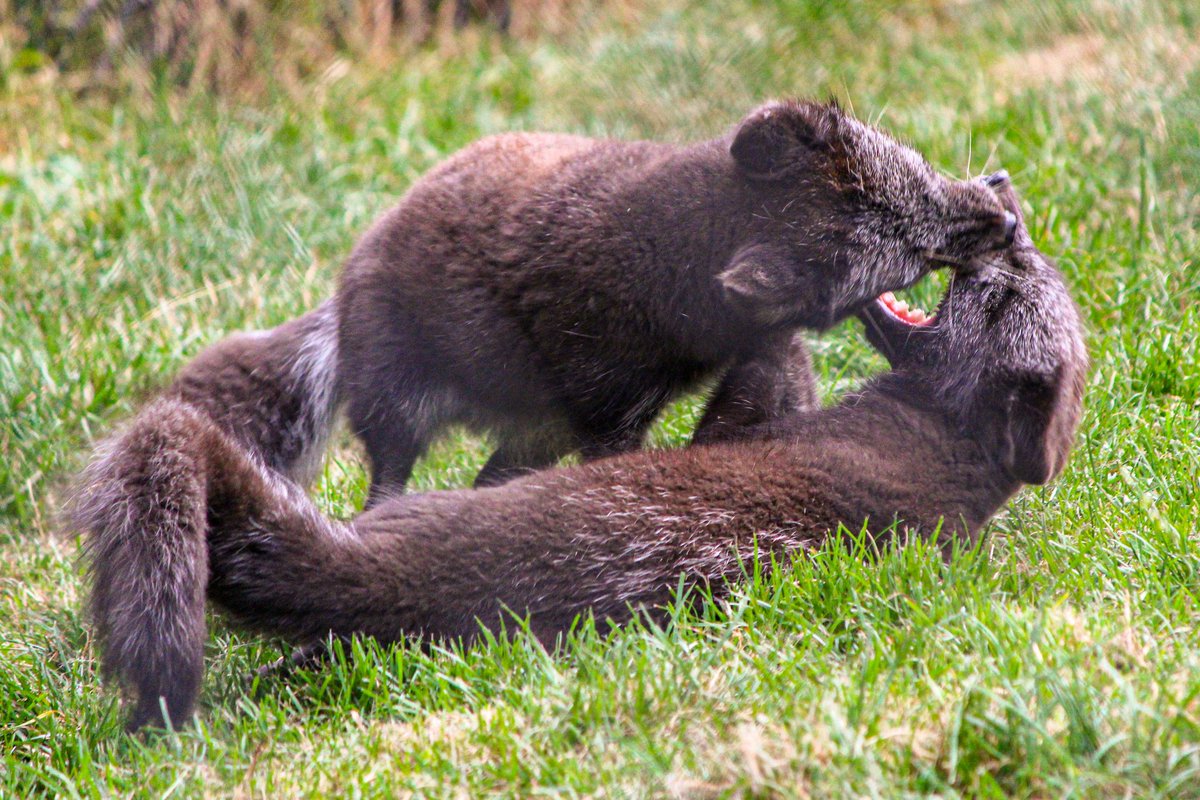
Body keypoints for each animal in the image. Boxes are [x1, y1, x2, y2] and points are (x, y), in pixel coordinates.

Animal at [72, 175, 1086, 730]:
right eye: (1027, 267)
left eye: (1007, 287)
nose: (1004, 197)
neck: (948, 450)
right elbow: (777, 356)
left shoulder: (747, 428)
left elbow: (762, 364)